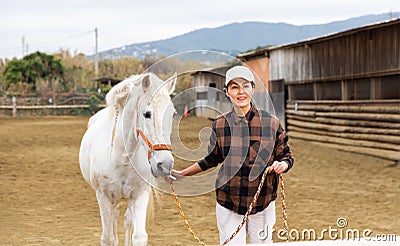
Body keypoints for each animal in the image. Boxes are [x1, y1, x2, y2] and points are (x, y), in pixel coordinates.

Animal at [79, 72, 176, 245]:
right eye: (147, 114)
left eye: (173, 114)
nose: (165, 164)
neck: (122, 157)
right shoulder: (104, 198)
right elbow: (108, 238)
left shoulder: (139, 197)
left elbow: (139, 236)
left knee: (126, 221)